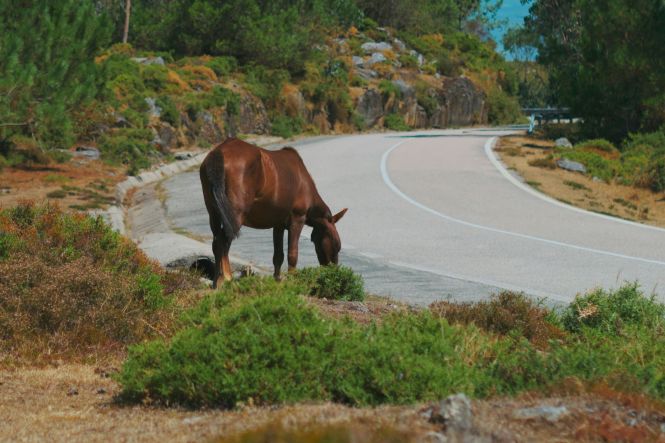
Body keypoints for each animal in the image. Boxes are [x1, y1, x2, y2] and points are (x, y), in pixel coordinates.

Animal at [200, 137, 347, 288]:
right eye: (336, 243)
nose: (333, 272)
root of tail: (219, 152)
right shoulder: (297, 219)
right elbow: (292, 254)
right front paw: (293, 281)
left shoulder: (278, 224)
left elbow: (278, 255)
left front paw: (277, 280)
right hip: (235, 214)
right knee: (224, 241)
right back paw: (227, 278)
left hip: (214, 213)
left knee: (216, 242)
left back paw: (217, 281)